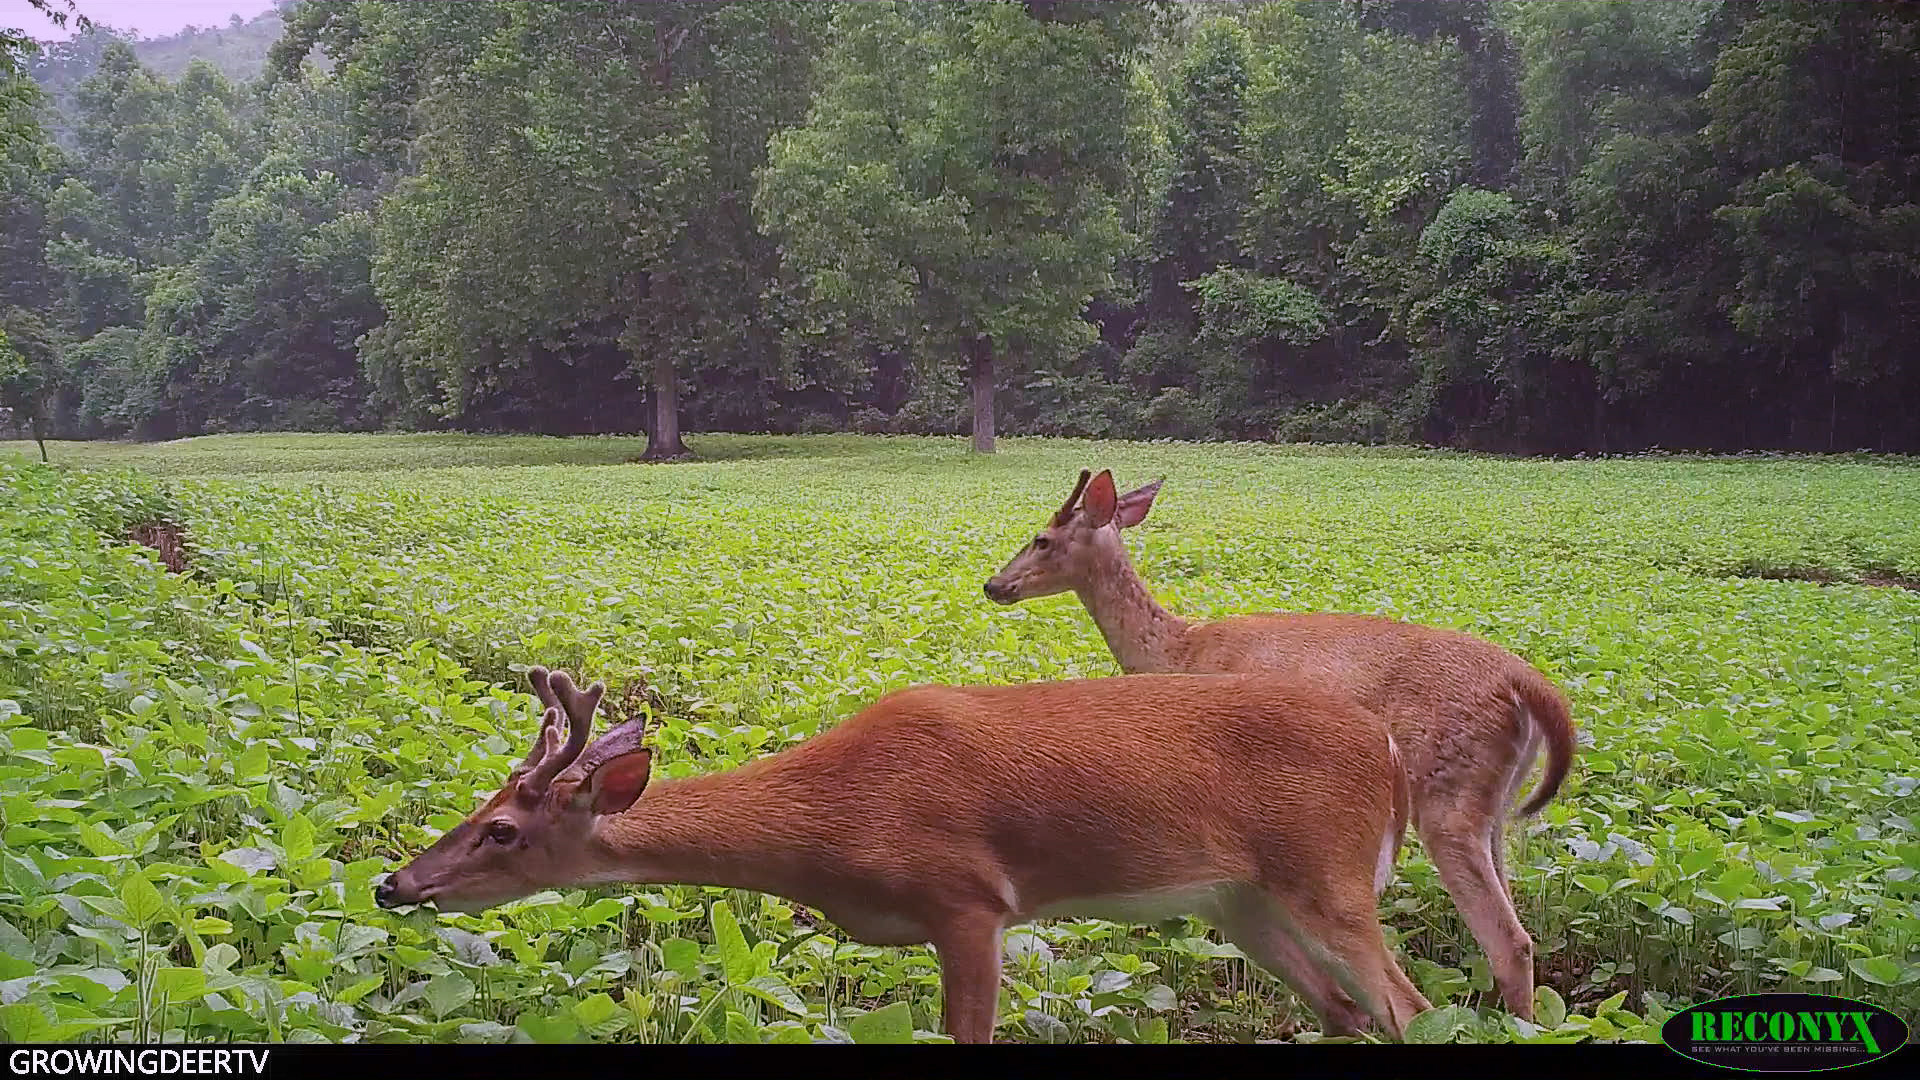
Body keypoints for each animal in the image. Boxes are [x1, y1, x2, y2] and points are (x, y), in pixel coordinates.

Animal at [378, 661, 1428, 1037]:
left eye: (502, 830)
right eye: (476, 805)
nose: (393, 884)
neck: (830, 824)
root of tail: (1387, 751)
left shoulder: (968, 899)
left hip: (1329, 872)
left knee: (1407, 1005)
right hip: (1239, 902)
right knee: (1348, 1009)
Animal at [990, 466, 1574, 1014]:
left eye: (1042, 538)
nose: (993, 585)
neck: (1178, 650)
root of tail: (1526, 683)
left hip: (1446, 789)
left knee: (1508, 941)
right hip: (1492, 804)